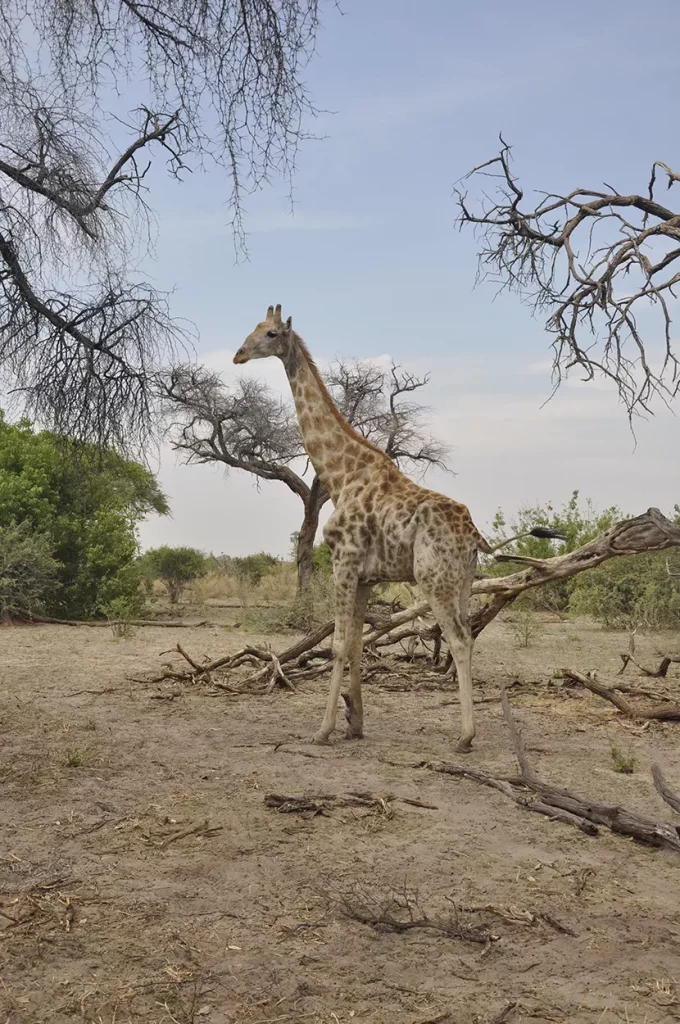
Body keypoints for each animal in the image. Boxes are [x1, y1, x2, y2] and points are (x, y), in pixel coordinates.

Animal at [233, 303, 561, 753]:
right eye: (253, 327)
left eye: (270, 333)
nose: (238, 354)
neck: (340, 475)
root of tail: (476, 536)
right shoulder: (366, 577)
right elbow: (356, 643)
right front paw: (355, 723)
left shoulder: (343, 563)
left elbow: (338, 645)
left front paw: (323, 730)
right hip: (462, 582)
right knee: (469, 637)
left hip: (434, 579)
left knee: (458, 639)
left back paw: (465, 736)